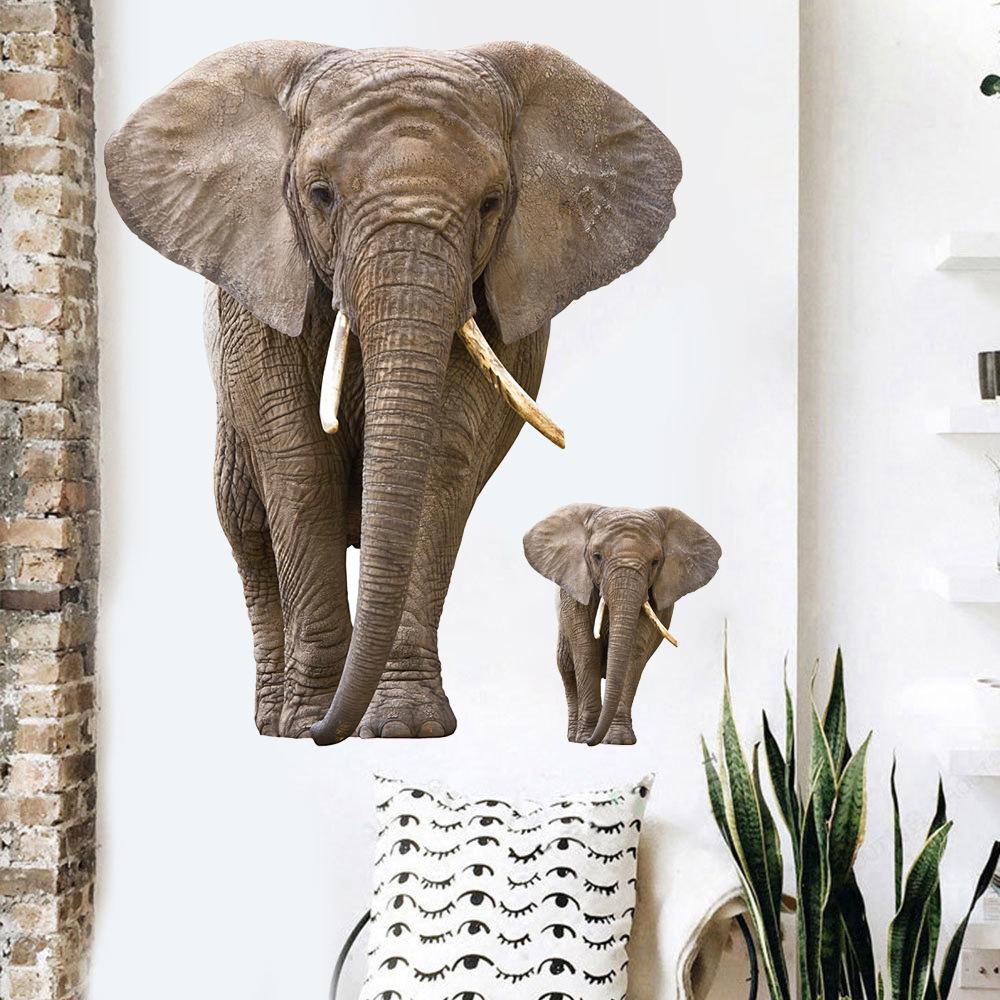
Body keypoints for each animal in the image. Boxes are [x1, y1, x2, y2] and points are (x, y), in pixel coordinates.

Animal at [104, 41, 681, 744]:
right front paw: (309, 723)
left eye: (492, 203)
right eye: (320, 194)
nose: (329, 731)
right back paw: (272, 722)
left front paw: (407, 727)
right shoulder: (259, 292)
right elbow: (299, 465)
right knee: (243, 519)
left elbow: (438, 467)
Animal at [523, 505, 721, 745]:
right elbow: (586, 650)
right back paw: (573, 737)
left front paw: (618, 740)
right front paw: (587, 736)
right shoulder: (575, 590)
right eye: (597, 556)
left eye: (655, 562)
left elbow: (635, 650)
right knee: (566, 668)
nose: (592, 742)